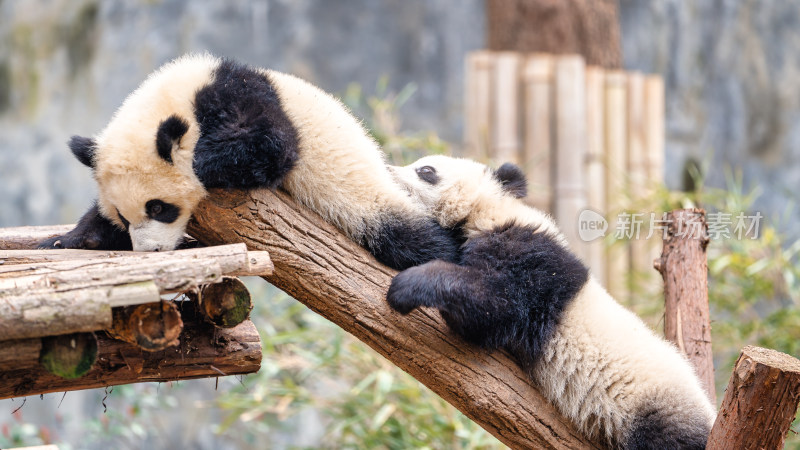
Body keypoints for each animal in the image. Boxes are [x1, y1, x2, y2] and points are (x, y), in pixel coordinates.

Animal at [40, 52, 460, 270]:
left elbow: (272, 146)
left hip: (369, 199)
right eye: (125, 218)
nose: (150, 252)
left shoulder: (240, 95)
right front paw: (66, 239)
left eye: (159, 208)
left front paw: (201, 164)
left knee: (413, 240)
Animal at [384, 156, 716, 450]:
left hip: (657, 411)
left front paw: (407, 286)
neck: (491, 210)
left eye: (426, 170)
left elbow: (495, 305)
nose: (388, 168)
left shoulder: (533, 260)